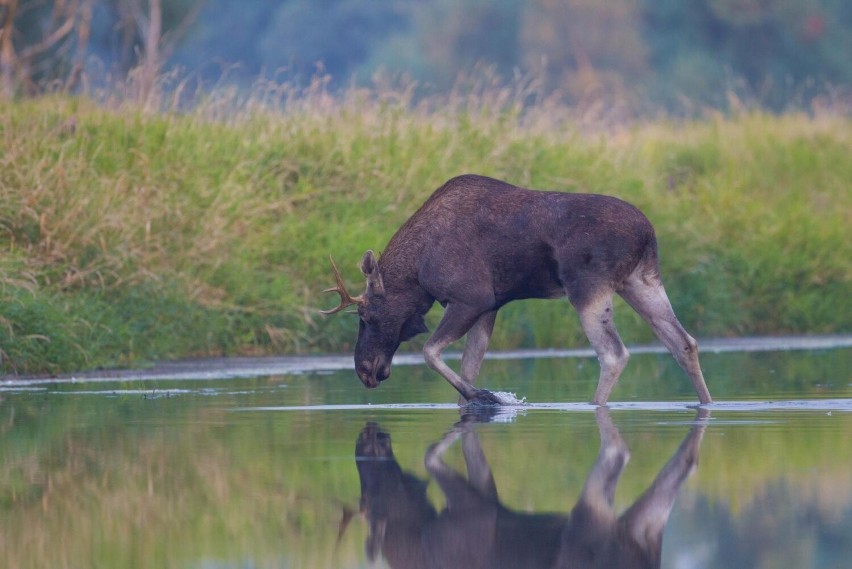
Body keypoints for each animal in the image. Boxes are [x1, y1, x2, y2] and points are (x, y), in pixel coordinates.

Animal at [322, 173, 716, 404]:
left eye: (366, 315)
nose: (364, 369)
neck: (417, 272)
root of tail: (648, 233)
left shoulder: (471, 298)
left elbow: (431, 353)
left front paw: (490, 397)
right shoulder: (490, 307)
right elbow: (467, 366)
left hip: (588, 287)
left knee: (614, 354)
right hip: (641, 281)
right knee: (684, 342)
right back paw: (706, 403)